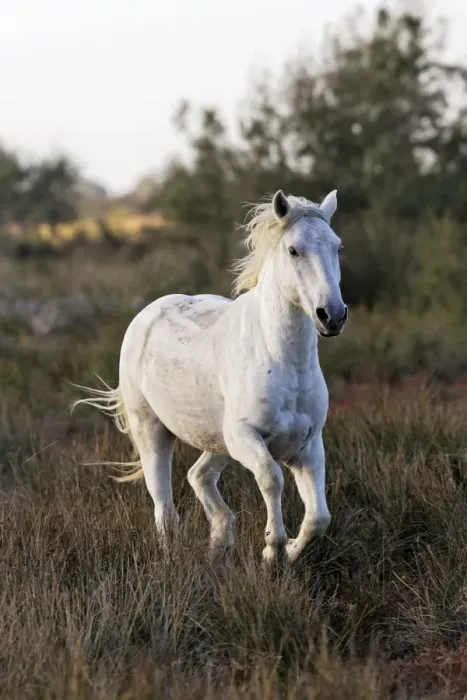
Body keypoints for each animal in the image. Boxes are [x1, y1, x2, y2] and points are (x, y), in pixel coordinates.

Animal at [73, 189, 347, 564]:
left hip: (218, 442)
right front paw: (271, 549)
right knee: (164, 505)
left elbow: (319, 517)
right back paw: (175, 557)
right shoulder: (245, 436)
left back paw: (219, 545)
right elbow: (271, 478)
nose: (332, 316)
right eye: (294, 250)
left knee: (198, 476)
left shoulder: (307, 446)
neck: (283, 361)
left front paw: (289, 552)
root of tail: (147, 313)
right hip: (153, 431)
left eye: (337, 247)